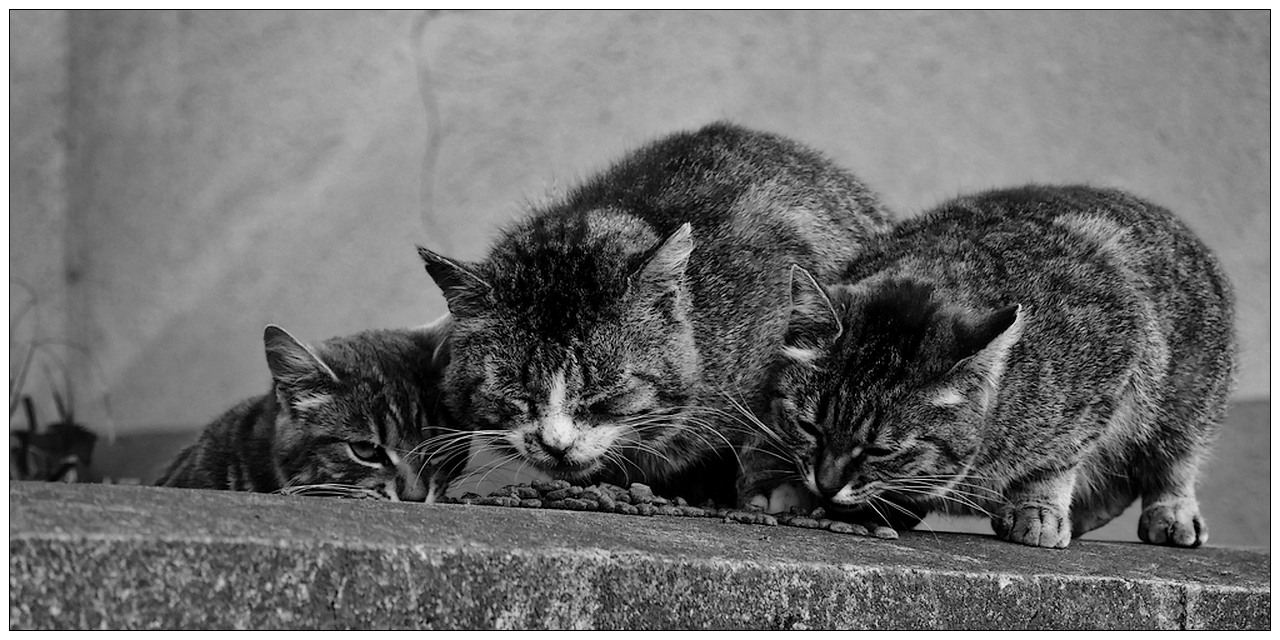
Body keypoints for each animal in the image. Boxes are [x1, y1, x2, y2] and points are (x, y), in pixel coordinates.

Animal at [762, 183, 1233, 547]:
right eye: (809, 427)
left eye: (880, 450)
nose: (826, 483)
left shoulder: (1115, 360)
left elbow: (1057, 459)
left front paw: (1039, 509)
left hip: (1187, 397)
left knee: (1173, 460)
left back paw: (1170, 511)